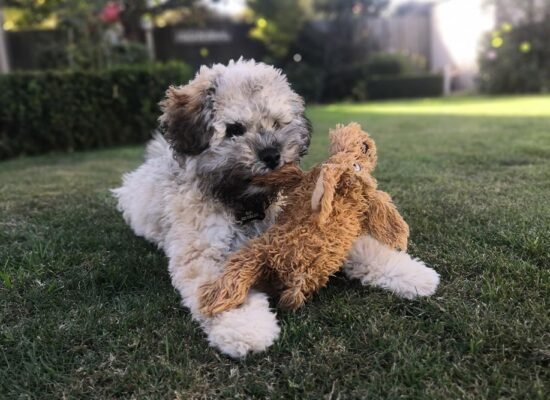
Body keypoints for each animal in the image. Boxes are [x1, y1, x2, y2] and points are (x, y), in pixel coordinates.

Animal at [114, 57, 442, 358]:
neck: (244, 202)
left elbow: (358, 246)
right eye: (234, 129)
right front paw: (246, 329)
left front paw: (412, 274)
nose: (272, 154)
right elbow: (223, 288)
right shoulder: (202, 251)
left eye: (276, 123)